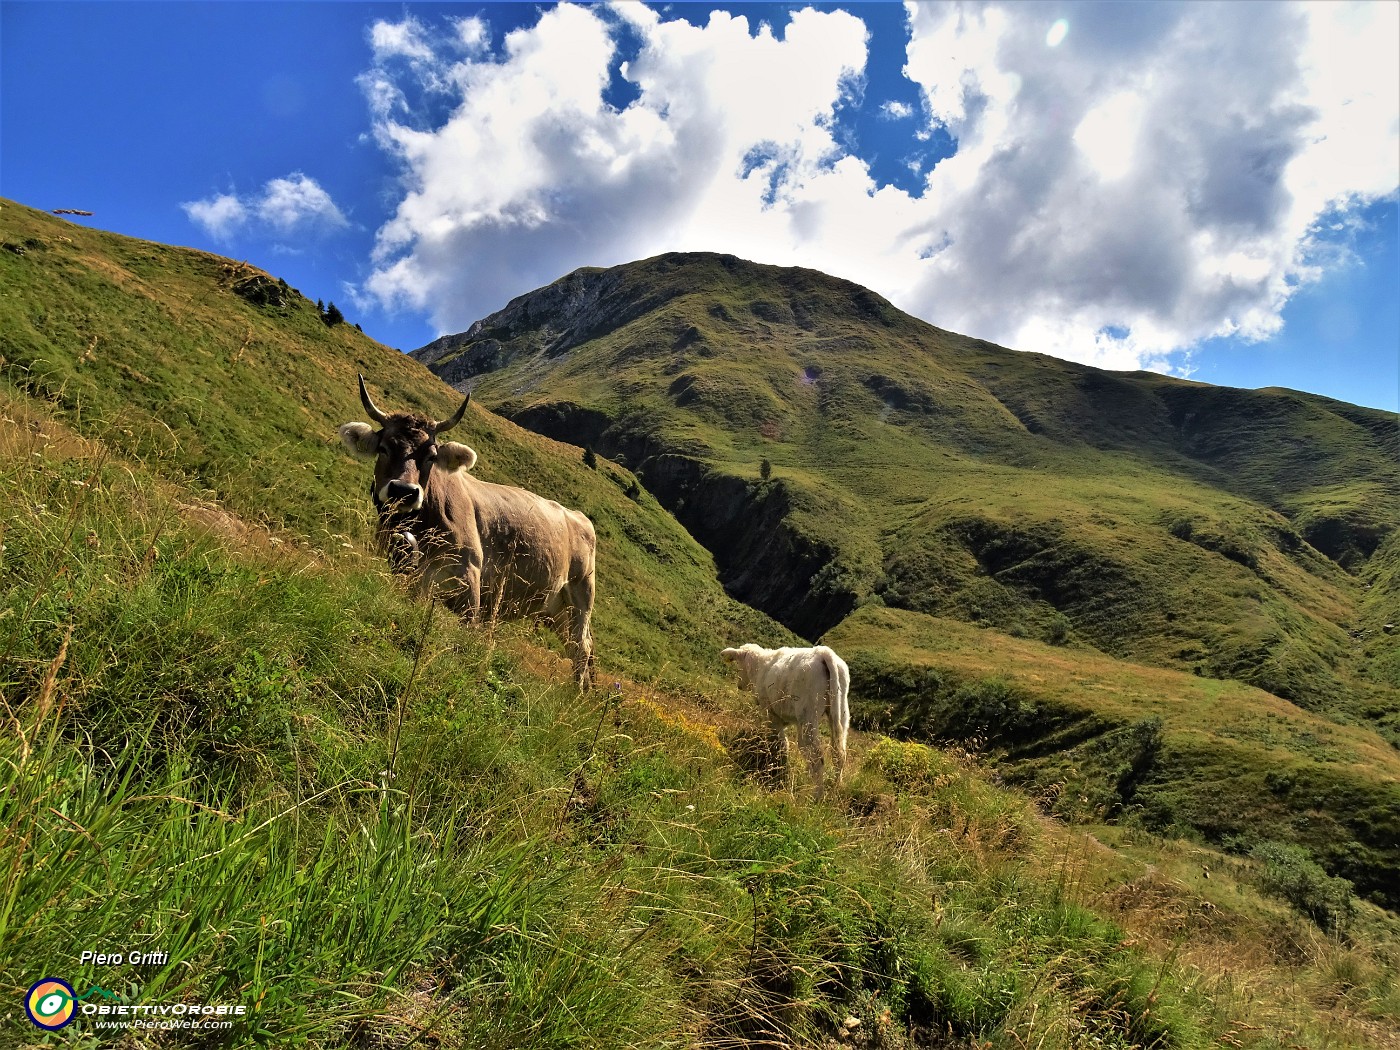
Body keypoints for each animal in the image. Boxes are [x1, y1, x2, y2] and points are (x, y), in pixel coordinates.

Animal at [345, 378, 602, 691]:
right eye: (383, 448)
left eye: (431, 456)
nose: (403, 491)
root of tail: (578, 516)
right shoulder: (406, 573)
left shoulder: (469, 577)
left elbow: (466, 633)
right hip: (556, 610)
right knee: (577, 649)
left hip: (581, 597)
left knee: (581, 649)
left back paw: (574, 695)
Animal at [722, 641, 851, 795]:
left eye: (738, 665)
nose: (739, 685)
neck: (759, 667)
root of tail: (824, 653)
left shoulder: (770, 713)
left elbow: (781, 744)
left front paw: (779, 770)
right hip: (841, 711)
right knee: (839, 754)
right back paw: (835, 789)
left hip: (808, 715)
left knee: (816, 757)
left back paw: (816, 795)